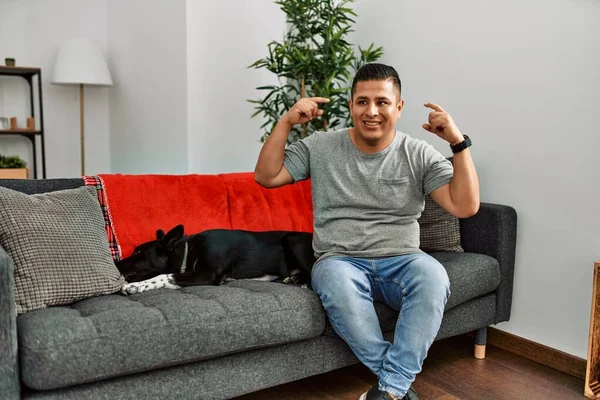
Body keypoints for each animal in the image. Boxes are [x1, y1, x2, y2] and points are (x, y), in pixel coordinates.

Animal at [114, 227, 316, 296]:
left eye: (138, 252)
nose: (115, 263)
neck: (189, 250)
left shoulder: (207, 275)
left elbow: (164, 276)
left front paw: (134, 287)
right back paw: (294, 278)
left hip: (293, 240)